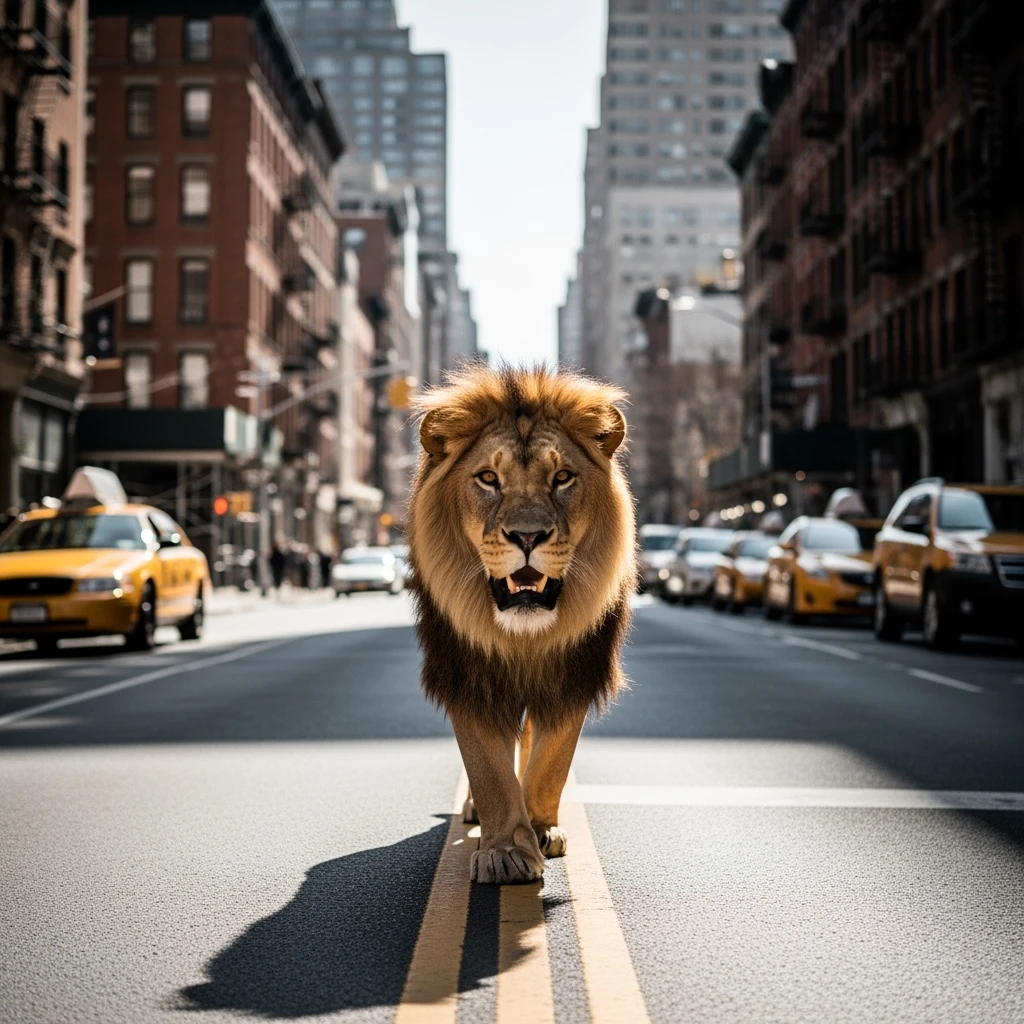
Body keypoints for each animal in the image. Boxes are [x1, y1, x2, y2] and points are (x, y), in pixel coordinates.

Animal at [406, 365, 636, 884]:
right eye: (489, 478)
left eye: (563, 477)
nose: (528, 537)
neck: (523, 639)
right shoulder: (469, 674)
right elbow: (489, 770)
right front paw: (507, 850)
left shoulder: (574, 672)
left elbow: (551, 761)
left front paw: (540, 826)